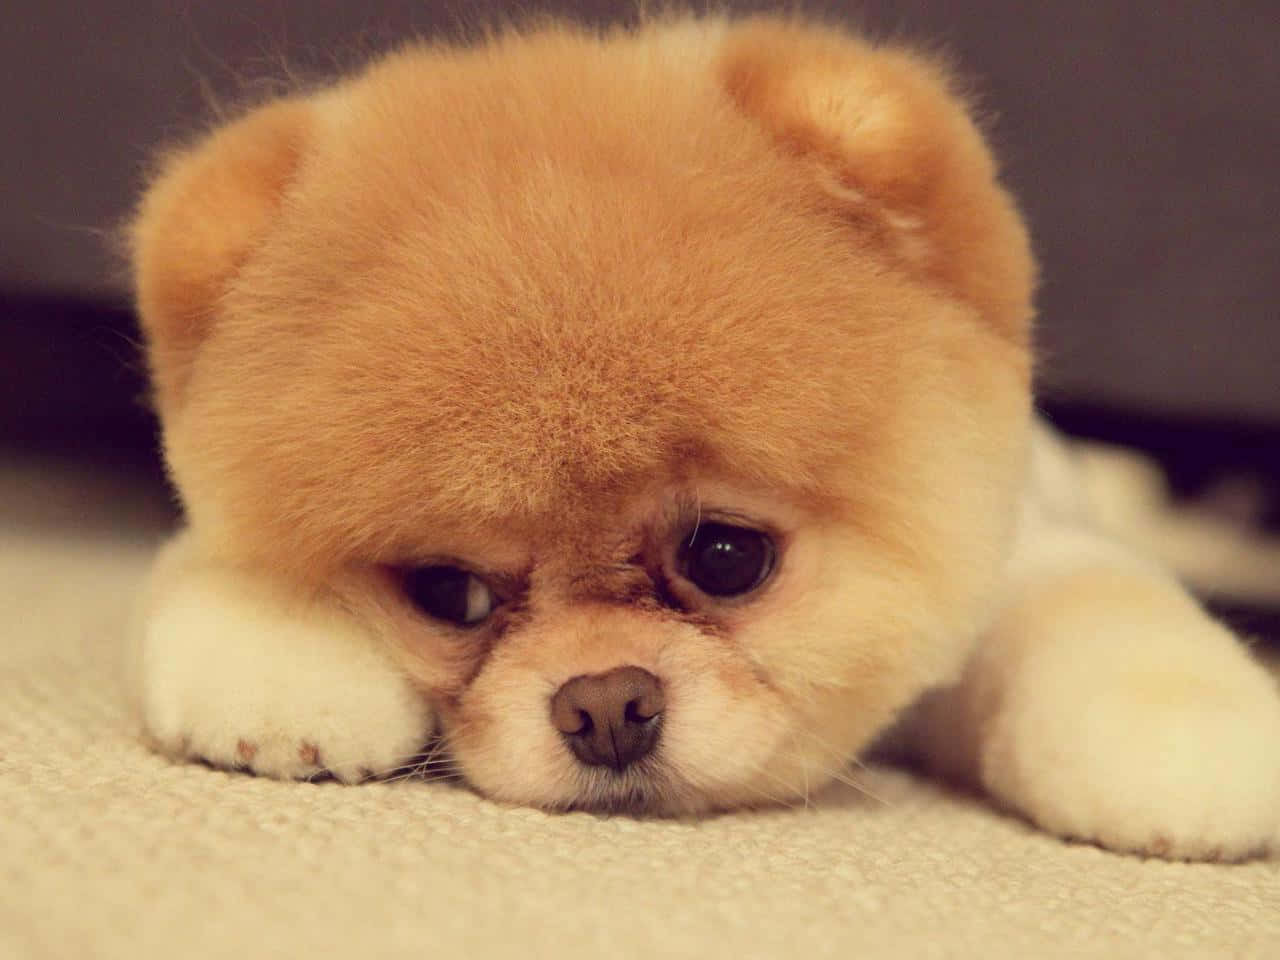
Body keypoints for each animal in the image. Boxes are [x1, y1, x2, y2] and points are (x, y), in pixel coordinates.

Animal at [129, 15, 1280, 860]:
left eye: (725, 557)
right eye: (447, 593)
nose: (604, 704)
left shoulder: (1021, 548)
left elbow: (1094, 606)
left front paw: (1179, 739)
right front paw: (282, 653)